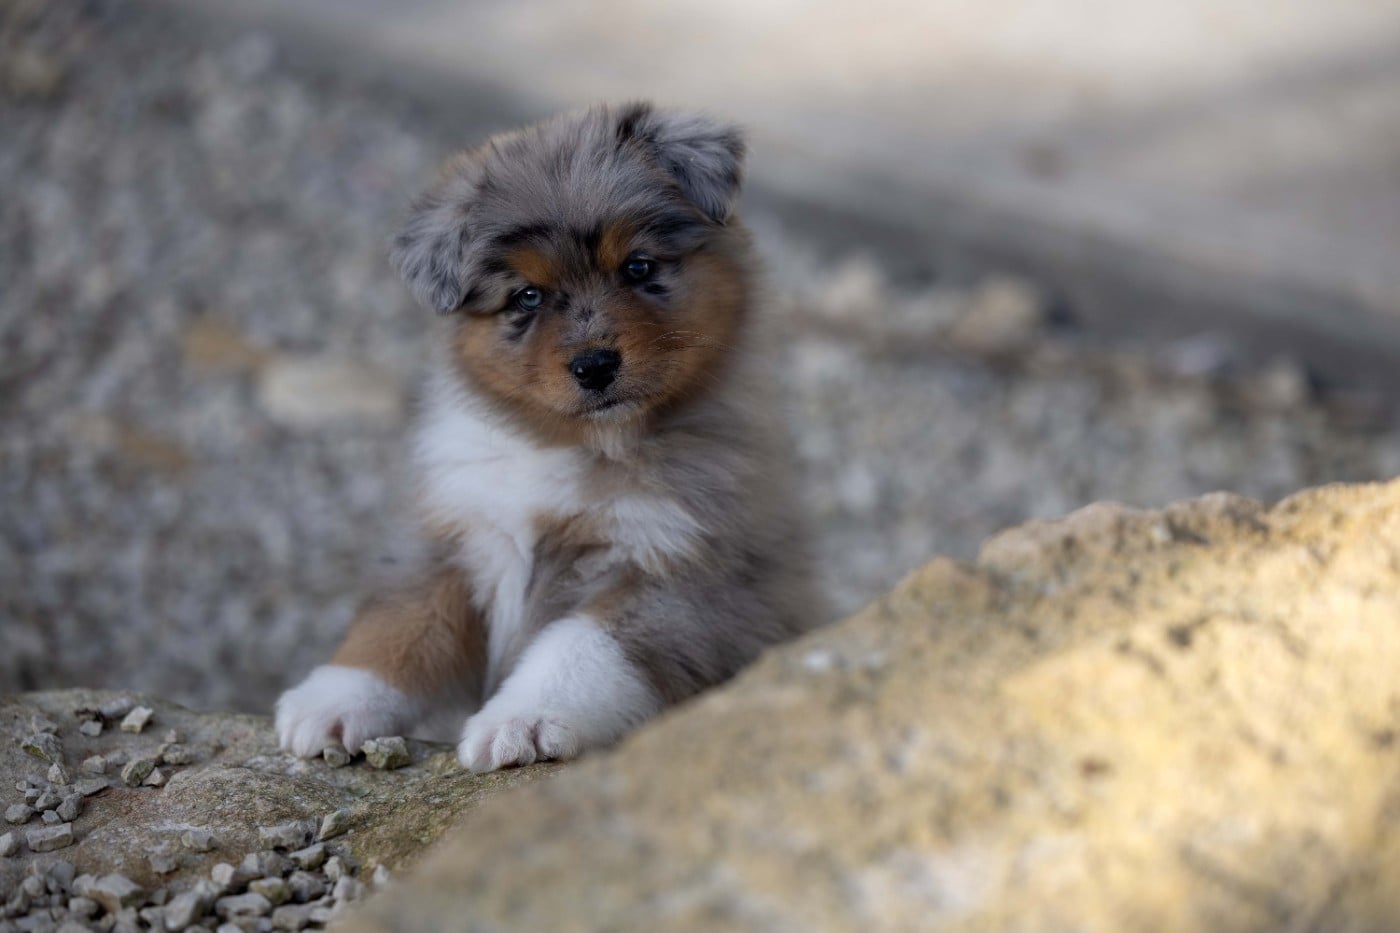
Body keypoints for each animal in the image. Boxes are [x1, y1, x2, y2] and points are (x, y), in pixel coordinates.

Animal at [275, 102, 820, 773]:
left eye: (637, 267)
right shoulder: (456, 534)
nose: (594, 365)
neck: (571, 444)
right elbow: (398, 623)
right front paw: (331, 700)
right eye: (527, 296)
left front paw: (522, 723)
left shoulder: (682, 573)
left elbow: (577, 646)